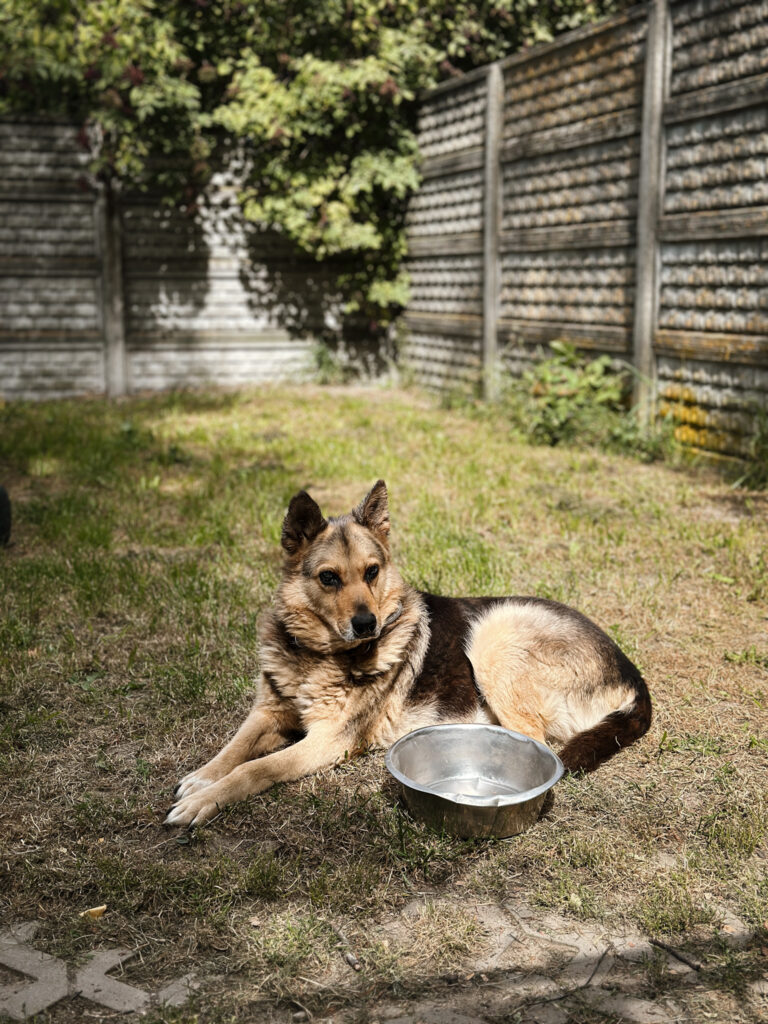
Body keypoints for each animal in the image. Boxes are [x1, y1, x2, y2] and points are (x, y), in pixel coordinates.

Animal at [166, 480, 651, 827]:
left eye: (372, 572)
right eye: (328, 578)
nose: (368, 625)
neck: (319, 656)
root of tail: (631, 672)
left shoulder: (328, 741)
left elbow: (255, 769)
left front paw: (206, 800)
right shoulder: (267, 713)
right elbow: (234, 749)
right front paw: (202, 778)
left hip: (494, 636)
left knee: (535, 745)